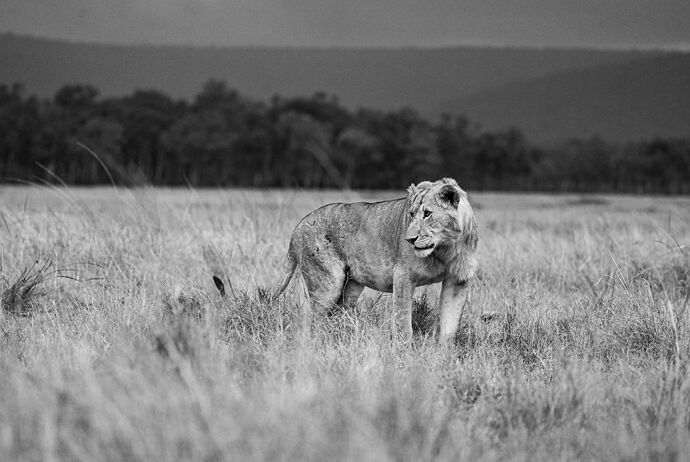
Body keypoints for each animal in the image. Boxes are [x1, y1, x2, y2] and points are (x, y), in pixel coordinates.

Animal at [272, 177, 476, 342]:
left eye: (428, 213)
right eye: (411, 214)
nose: (409, 240)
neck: (445, 249)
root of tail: (298, 226)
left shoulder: (458, 280)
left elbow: (450, 325)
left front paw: (445, 355)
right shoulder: (403, 274)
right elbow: (403, 321)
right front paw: (404, 354)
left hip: (351, 286)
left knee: (335, 314)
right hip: (327, 284)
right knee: (308, 319)